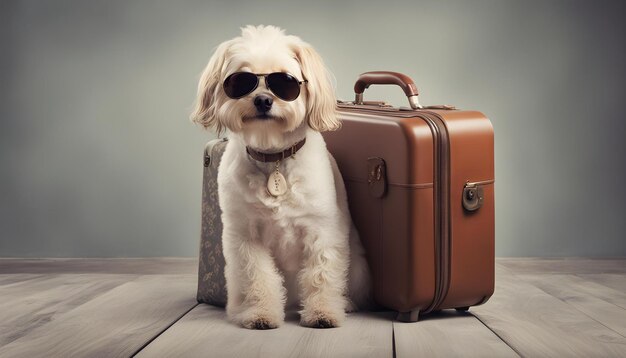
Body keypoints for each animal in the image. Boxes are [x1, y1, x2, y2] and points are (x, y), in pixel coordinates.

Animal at [188, 25, 368, 330]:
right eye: (240, 81)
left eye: (285, 82)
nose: (263, 99)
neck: (273, 157)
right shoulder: (246, 237)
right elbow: (258, 277)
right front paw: (261, 313)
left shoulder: (322, 231)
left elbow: (321, 275)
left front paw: (322, 312)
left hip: (357, 268)